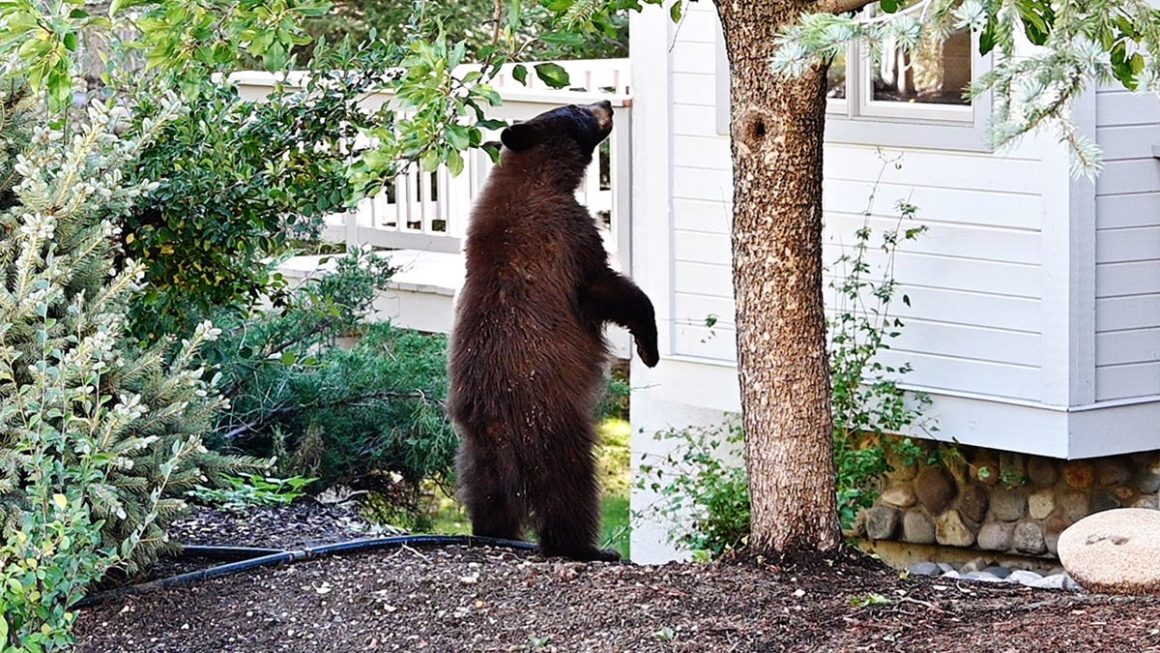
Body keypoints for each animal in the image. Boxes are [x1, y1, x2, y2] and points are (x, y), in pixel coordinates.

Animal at [447, 100, 659, 562]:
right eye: (575, 108)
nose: (606, 102)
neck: (537, 176)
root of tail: (495, 422)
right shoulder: (567, 234)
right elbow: (606, 287)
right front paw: (649, 347)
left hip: (474, 452)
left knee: (486, 495)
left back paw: (493, 532)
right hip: (552, 429)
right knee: (571, 490)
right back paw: (588, 548)